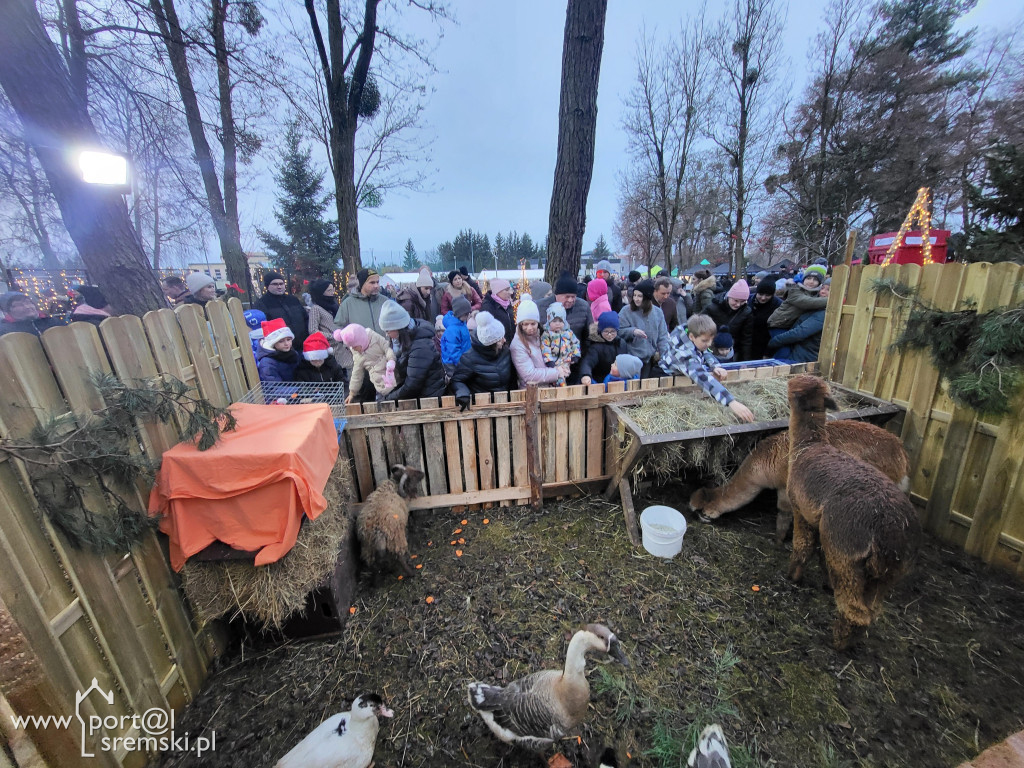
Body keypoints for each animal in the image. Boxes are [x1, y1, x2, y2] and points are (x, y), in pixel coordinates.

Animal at [692, 423, 909, 544]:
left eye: (704, 510)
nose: (701, 518)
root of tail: (900, 454)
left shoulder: (785, 487)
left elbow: (784, 513)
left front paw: (778, 540)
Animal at [782, 376, 921, 651]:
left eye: (794, 386)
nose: (787, 380)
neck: (808, 447)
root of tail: (888, 530)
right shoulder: (822, 526)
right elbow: (820, 554)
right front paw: (825, 582)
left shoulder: (802, 511)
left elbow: (803, 546)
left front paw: (793, 576)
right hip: (888, 572)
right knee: (871, 611)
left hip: (846, 548)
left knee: (855, 610)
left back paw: (838, 642)